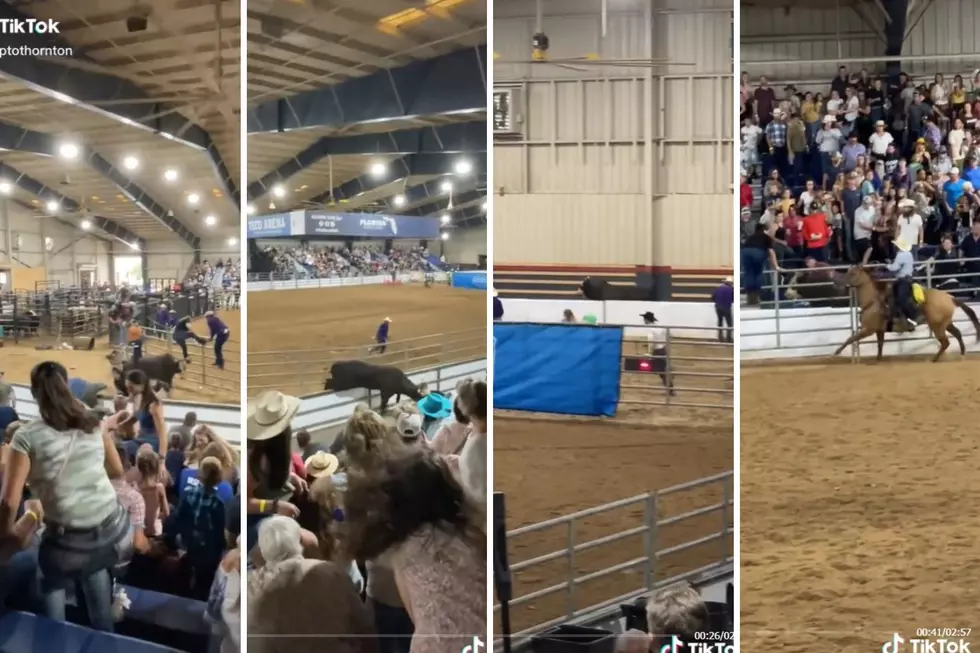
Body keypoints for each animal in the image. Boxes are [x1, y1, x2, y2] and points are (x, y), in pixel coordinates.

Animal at [836, 264, 980, 362]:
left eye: (852, 273)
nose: (838, 282)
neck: (872, 301)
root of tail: (950, 297)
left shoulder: (868, 329)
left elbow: (851, 338)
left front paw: (837, 352)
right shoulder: (879, 330)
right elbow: (880, 345)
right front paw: (878, 359)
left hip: (937, 326)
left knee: (945, 342)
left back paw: (934, 359)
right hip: (946, 323)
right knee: (957, 334)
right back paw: (962, 353)